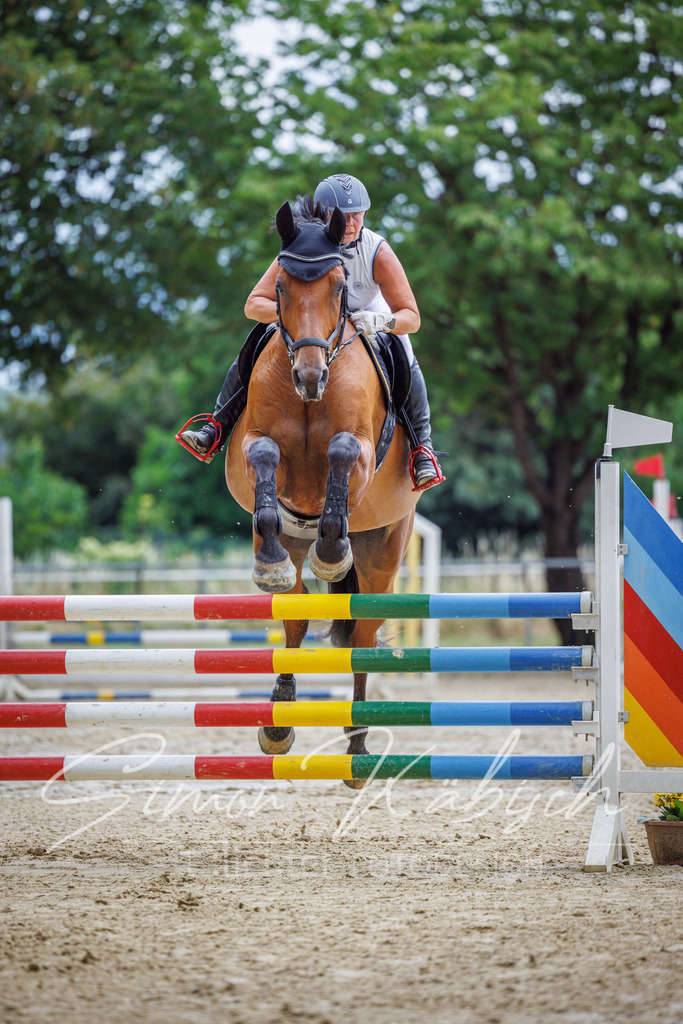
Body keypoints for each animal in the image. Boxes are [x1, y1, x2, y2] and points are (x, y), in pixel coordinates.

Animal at [226, 197, 422, 784]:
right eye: (282, 286)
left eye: (339, 289)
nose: (309, 377)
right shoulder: (256, 446)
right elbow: (265, 457)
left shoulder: (361, 451)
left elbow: (340, 452)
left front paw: (332, 554)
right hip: (293, 548)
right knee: (294, 621)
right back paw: (278, 723)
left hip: (384, 551)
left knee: (363, 637)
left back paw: (358, 741)